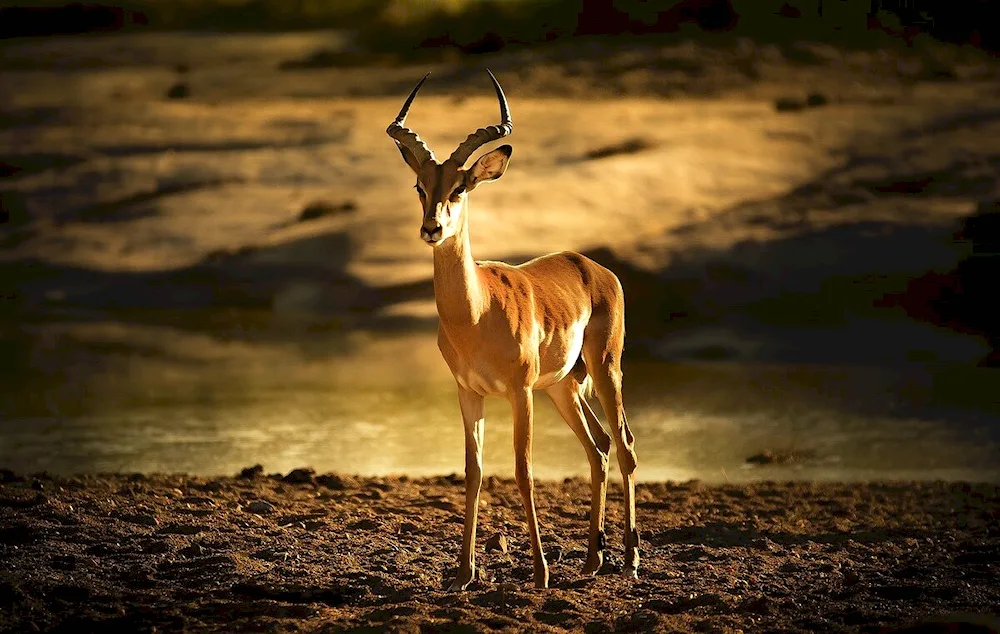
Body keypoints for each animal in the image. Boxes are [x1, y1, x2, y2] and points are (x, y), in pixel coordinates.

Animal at [386, 69, 636, 588]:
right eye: (420, 186)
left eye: (459, 188)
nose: (431, 228)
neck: (475, 314)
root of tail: (594, 267)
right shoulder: (469, 393)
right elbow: (474, 471)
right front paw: (463, 573)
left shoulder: (519, 393)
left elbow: (522, 471)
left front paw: (540, 572)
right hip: (563, 386)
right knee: (599, 447)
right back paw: (592, 559)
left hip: (605, 369)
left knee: (624, 444)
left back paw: (631, 559)